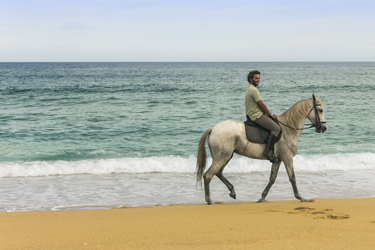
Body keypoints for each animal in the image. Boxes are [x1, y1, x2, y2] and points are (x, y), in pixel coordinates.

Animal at [197, 94, 326, 204]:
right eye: (320, 110)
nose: (323, 128)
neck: (288, 129)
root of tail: (213, 129)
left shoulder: (278, 160)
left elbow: (272, 179)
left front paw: (262, 197)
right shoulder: (287, 158)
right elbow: (292, 177)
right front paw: (300, 197)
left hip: (226, 156)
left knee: (218, 173)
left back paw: (232, 191)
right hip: (222, 157)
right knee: (208, 175)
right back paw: (209, 200)